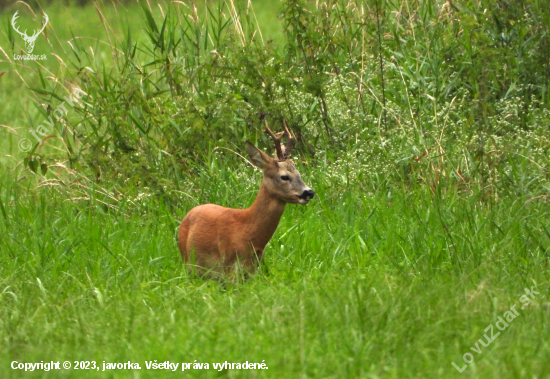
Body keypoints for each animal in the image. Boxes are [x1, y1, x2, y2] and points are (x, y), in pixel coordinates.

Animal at [178, 121, 314, 280]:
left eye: (299, 173)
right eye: (284, 176)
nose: (309, 192)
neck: (247, 232)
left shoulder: (255, 269)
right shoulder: (229, 267)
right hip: (188, 263)